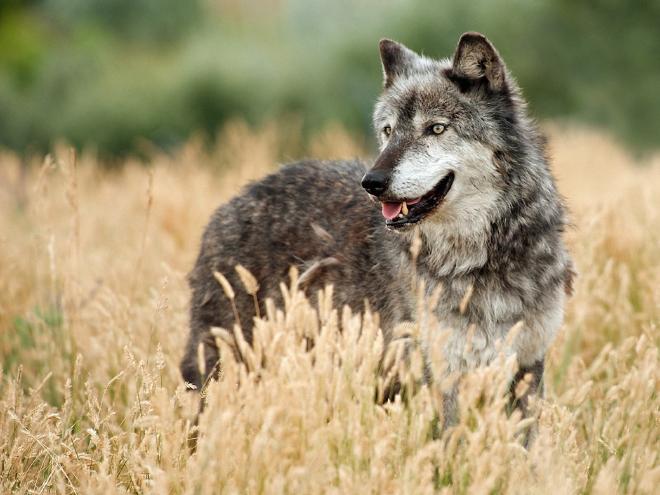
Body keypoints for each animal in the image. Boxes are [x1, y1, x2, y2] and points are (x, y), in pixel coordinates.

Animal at [180, 31, 572, 424]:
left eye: (436, 128)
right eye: (388, 131)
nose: (372, 182)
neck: (480, 259)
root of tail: (234, 201)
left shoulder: (526, 367)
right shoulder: (441, 375)